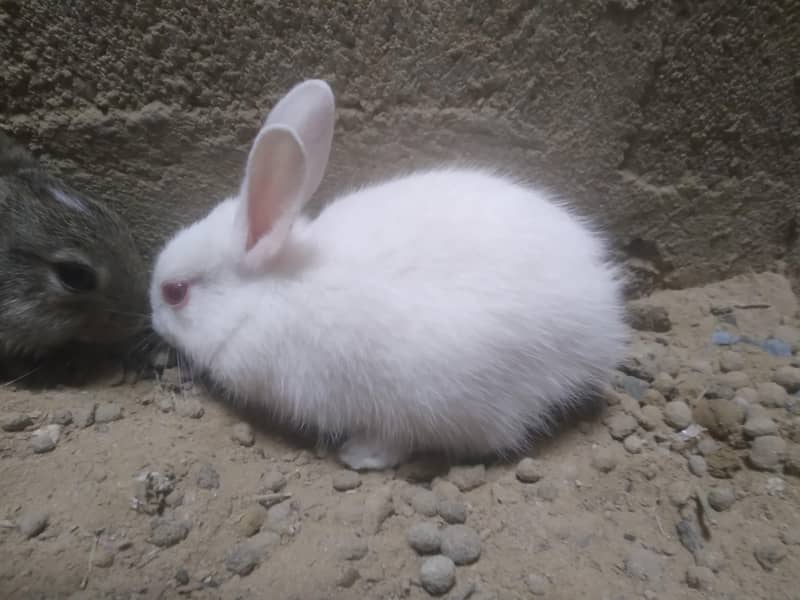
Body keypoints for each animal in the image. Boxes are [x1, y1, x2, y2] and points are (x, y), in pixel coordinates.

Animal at [150, 79, 629, 471]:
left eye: (175, 292)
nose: (152, 318)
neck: (268, 290)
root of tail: (599, 319)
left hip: (440, 393)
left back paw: (359, 455)